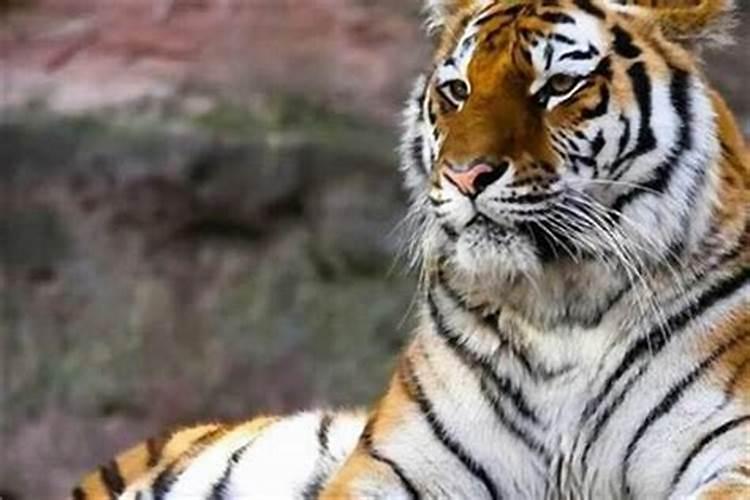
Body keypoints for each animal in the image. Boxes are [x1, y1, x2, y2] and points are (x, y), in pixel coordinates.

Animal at [72, 0, 749, 498]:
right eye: (457, 90)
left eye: (559, 86)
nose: (466, 174)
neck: (561, 308)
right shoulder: (401, 467)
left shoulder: (730, 451)